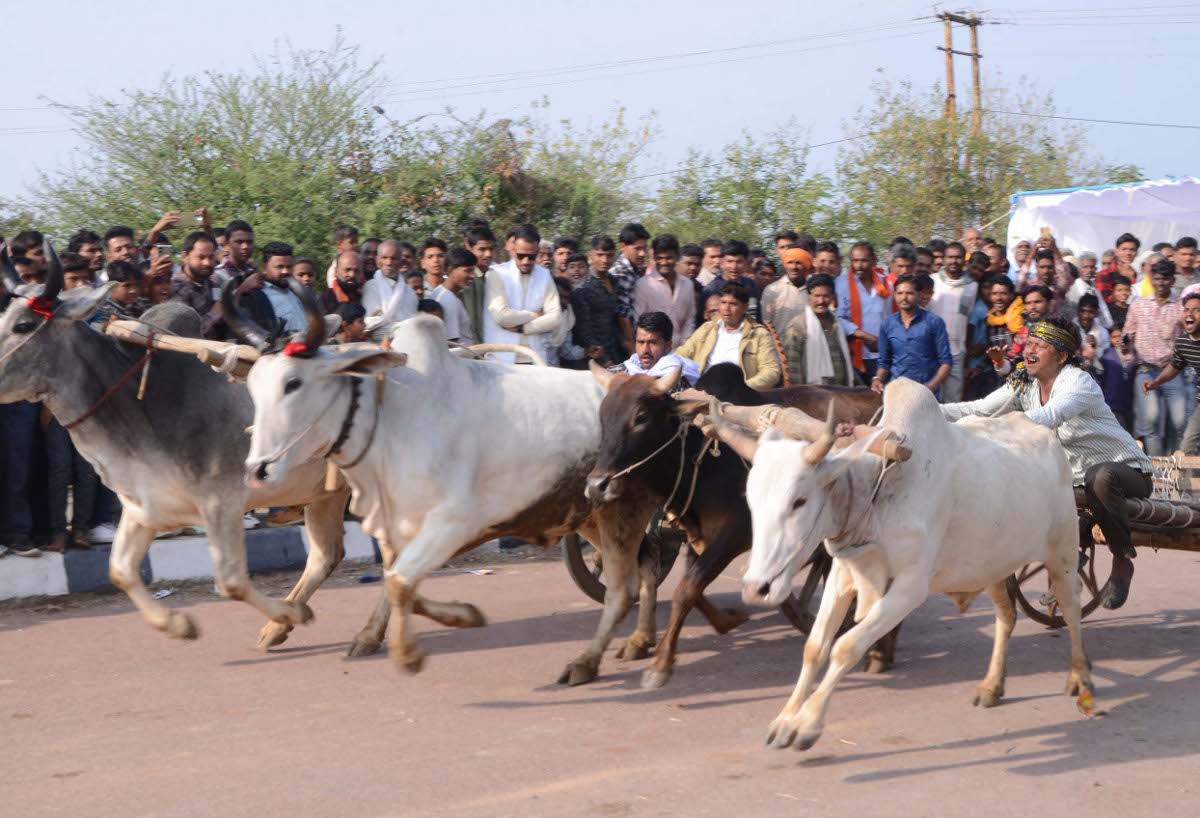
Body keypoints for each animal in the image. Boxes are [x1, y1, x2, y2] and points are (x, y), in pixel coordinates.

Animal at [585, 359, 897, 686]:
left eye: (641, 417)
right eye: (603, 417)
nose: (596, 485)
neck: (702, 456)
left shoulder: (732, 535)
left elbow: (686, 589)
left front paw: (660, 664)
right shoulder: (698, 536)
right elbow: (693, 589)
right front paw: (728, 620)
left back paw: (880, 651)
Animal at [710, 379, 1099, 748]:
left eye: (799, 501)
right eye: (751, 500)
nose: (756, 588)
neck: (877, 493)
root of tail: (1042, 433)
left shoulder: (910, 588)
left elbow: (846, 646)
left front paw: (807, 725)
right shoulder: (843, 576)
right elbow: (815, 648)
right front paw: (785, 720)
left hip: (1063, 553)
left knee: (1071, 608)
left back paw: (1080, 677)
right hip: (992, 564)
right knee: (1007, 616)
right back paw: (992, 685)